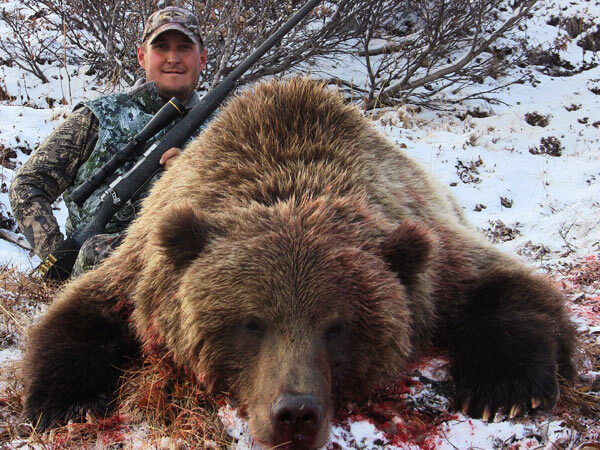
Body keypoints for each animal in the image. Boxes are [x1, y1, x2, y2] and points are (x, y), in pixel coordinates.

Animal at [23, 78, 576, 450]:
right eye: (252, 323)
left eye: (337, 326)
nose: (295, 414)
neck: (288, 175)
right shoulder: (146, 268)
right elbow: (87, 308)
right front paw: (64, 404)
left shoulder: (429, 254)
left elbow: (501, 284)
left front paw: (502, 389)